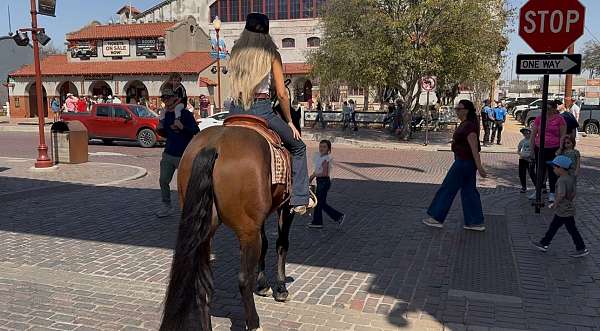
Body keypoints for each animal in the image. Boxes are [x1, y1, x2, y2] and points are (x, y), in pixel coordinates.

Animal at [159, 122, 298, 331]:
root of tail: (213, 145)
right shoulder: (286, 207)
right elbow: (281, 244)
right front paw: (280, 288)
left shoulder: (260, 219)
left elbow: (266, 244)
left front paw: (263, 285)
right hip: (247, 231)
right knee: (243, 279)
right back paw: (254, 323)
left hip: (205, 232)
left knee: (204, 282)